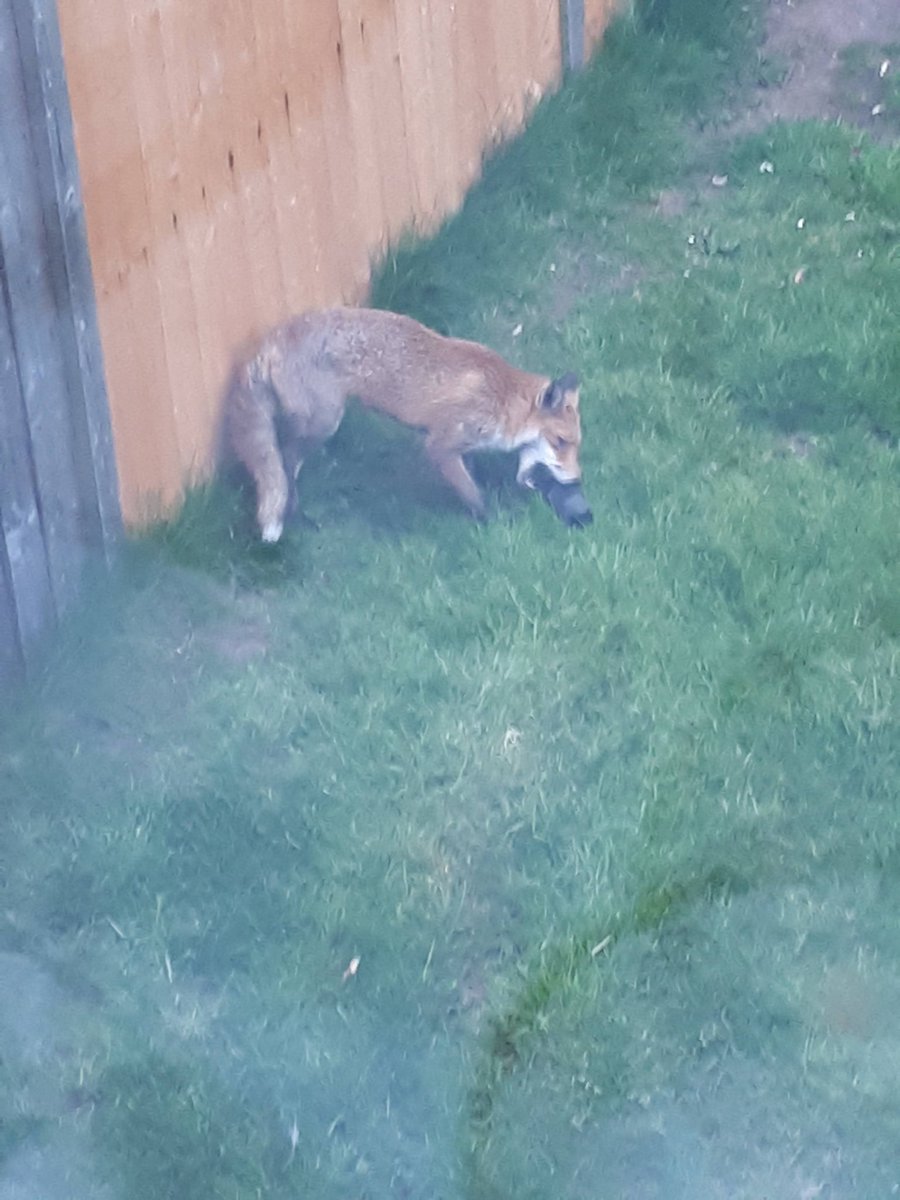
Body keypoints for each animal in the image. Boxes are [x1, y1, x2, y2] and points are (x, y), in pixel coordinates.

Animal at [224, 307, 590, 542]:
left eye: (576, 444)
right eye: (560, 442)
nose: (576, 479)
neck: (500, 397)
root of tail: (273, 338)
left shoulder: (463, 446)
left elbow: (470, 473)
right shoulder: (439, 445)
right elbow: (471, 492)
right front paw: (490, 521)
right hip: (323, 423)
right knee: (284, 461)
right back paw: (295, 513)